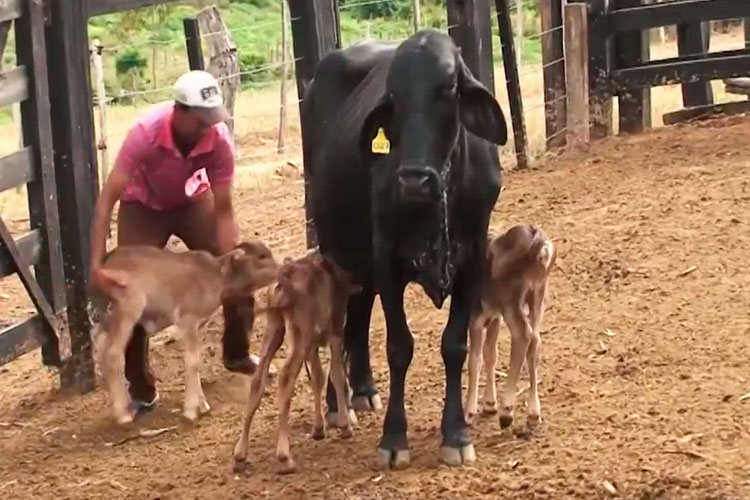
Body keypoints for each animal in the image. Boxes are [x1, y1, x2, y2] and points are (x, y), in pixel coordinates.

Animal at [301, 29, 507, 468]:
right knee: (341, 325)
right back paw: (337, 402)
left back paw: (362, 389)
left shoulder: (472, 260)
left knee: (359, 311)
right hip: (336, 246)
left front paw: (456, 432)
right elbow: (399, 346)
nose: (414, 179)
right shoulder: (388, 259)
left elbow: (455, 345)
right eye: (393, 95)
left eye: (448, 88)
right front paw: (394, 438)